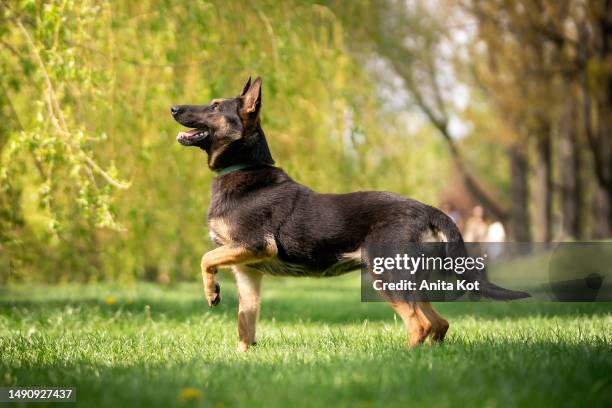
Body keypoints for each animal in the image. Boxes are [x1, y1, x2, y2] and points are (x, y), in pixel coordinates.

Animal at [170, 78, 528, 352]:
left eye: (215, 106)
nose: (173, 108)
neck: (244, 167)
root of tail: (426, 209)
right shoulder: (248, 272)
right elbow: (245, 323)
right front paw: (242, 357)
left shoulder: (255, 246)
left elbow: (205, 258)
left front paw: (212, 293)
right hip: (410, 280)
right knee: (440, 323)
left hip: (386, 275)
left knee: (420, 324)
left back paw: (402, 359)